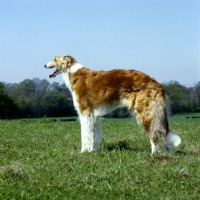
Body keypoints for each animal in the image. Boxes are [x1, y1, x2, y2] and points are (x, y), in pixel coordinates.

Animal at [44, 55, 181, 154]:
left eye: (54, 58)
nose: (44, 64)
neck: (73, 72)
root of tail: (157, 83)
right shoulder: (94, 116)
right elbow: (94, 136)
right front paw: (93, 150)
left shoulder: (85, 113)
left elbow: (86, 135)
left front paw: (84, 151)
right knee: (162, 135)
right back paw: (167, 153)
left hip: (144, 114)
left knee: (154, 137)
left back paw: (154, 154)